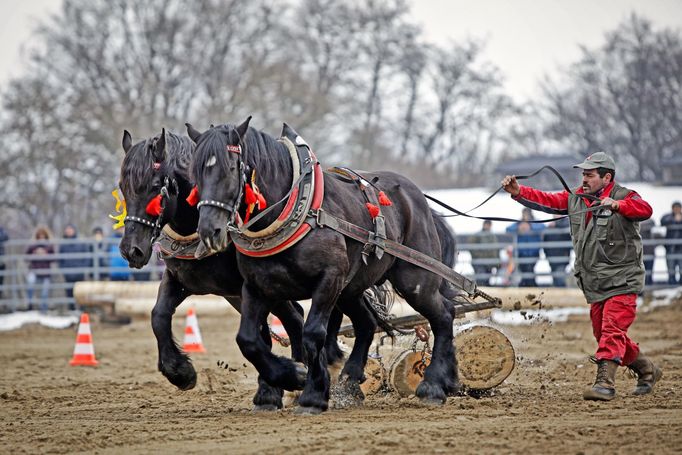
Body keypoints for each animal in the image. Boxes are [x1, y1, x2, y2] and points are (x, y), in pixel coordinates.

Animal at [189, 118, 460, 416]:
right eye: (195, 172)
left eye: (230, 168)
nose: (209, 231)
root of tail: (418, 198)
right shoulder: (256, 286)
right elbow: (247, 340)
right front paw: (291, 377)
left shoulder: (329, 279)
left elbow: (313, 334)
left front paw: (313, 394)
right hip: (352, 289)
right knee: (368, 323)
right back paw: (356, 381)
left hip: (415, 279)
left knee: (443, 315)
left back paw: (433, 385)